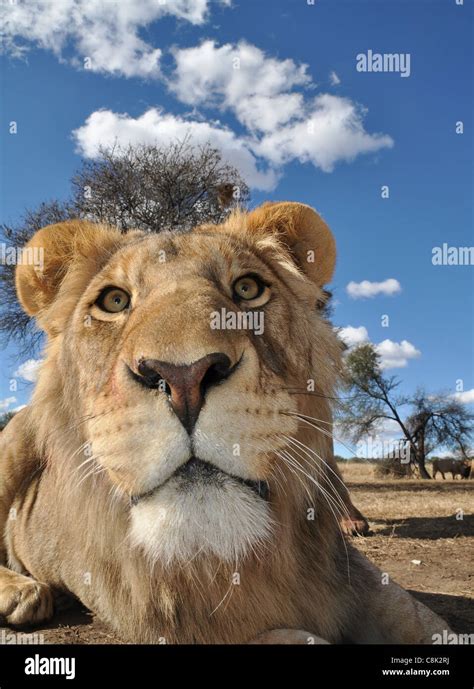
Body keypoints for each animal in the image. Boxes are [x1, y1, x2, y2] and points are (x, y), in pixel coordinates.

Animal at [0, 202, 450, 644]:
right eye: (114, 300)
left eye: (248, 289)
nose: (183, 377)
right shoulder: (166, 622)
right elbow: (289, 636)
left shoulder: (348, 572)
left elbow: (425, 620)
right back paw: (22, 592)